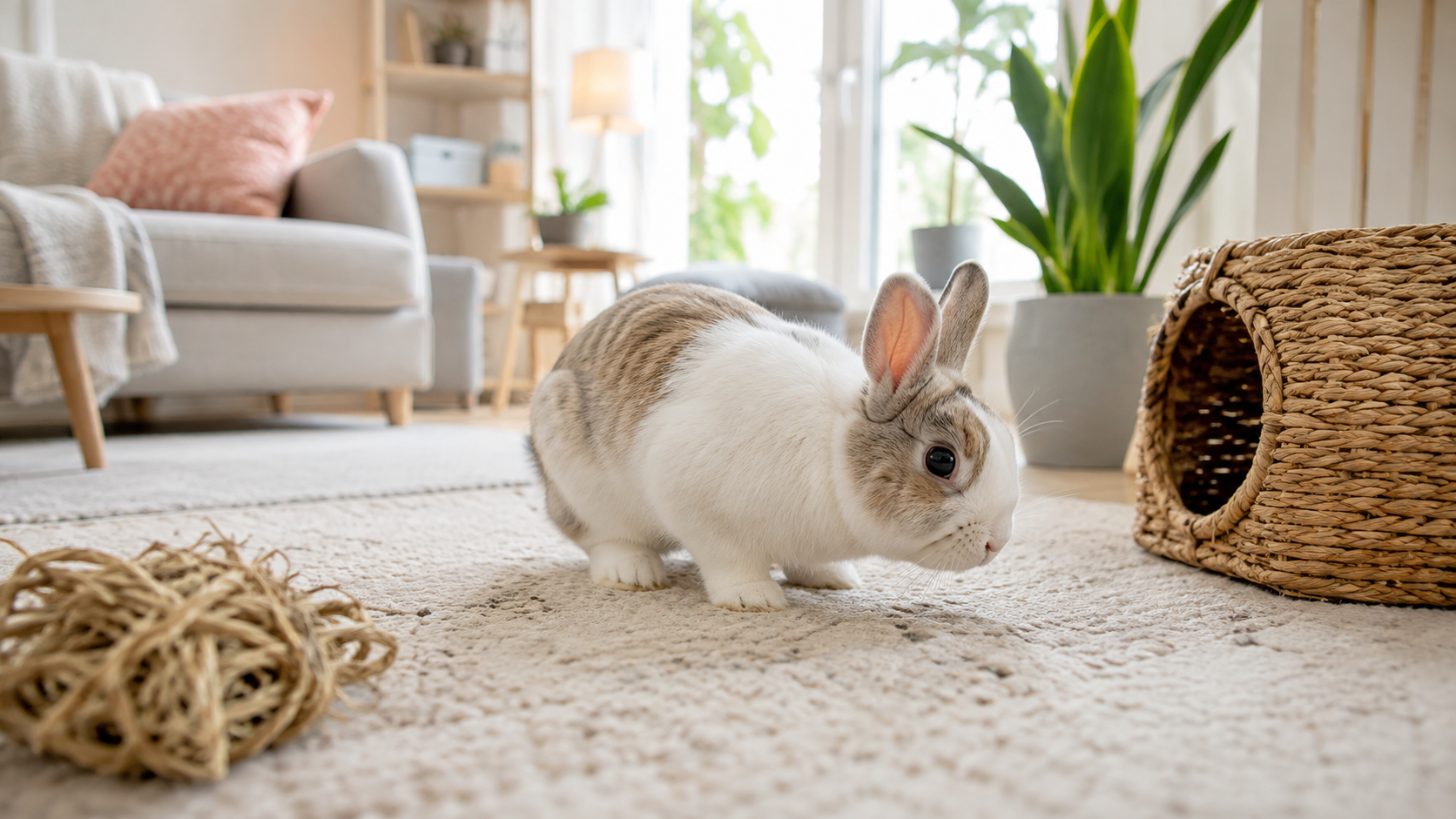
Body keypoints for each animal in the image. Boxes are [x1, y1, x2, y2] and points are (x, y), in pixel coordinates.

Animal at [528, 261, 1020, 611]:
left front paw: (831, 578)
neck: (833, 451)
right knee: (600, 536)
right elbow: (728, 558)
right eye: (942, 460)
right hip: (584, 485)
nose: (997, 543)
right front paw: (754, 598)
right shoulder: (690, 498)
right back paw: (632, 572)